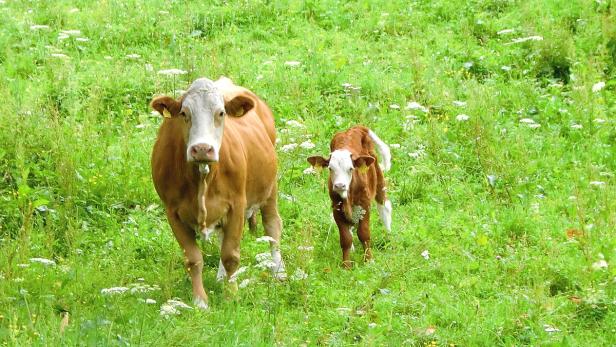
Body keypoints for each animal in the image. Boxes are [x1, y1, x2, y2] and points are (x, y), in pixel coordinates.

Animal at [150, 77, 286, 310]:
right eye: (184, 113)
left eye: (221, 113)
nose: (202, 149)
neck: (202, 178)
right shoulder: (172, 212)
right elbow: (193, 259)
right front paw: (200, 301)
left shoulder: (237, 205)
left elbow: (231, 255)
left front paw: (231, 297)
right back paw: (222, 277)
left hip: (270, 188)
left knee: (272, 225)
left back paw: (278, 270)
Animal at [306, 127, 392, 270]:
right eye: (330, 168)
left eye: (351, 168)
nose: (340, 185)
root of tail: (356, 128)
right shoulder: (336, 208)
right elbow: (345, 238)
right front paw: (346, 265)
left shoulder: (364, 205)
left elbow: (364, 234)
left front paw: (369, 260)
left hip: (378, 176)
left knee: (384, 206)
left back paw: (389, 236)